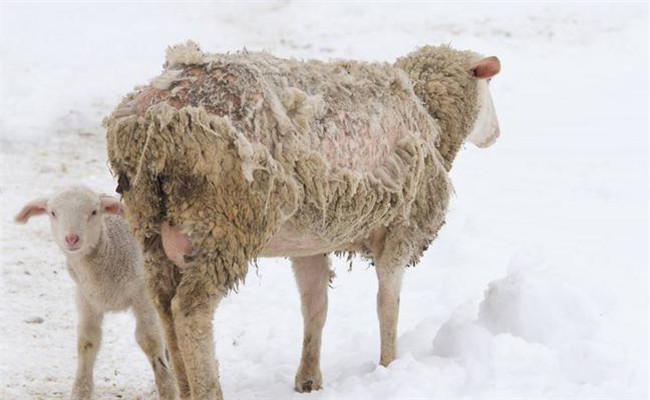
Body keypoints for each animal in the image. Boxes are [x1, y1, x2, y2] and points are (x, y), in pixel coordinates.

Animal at [15, 187, 177, 400]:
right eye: (53, 213)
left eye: (93, 212)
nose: (72, 238)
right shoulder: (87, 299)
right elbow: (87, 341)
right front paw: (80, 392)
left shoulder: (143, 296)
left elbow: (149, 340)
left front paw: (168, 389)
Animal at [105, 41, 502, 400]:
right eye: (488, 86)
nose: (496, 134)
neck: (426, 110)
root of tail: (149, 122)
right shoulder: (399, 229)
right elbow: (387, 304)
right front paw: (390, 366)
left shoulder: (311, 242)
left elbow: (315, 307)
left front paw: (308, 379)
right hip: (226, 224)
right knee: (190, 310)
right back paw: (208, 390)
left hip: (153, 231)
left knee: (164, 305)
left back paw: (184, 389)